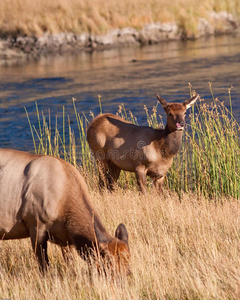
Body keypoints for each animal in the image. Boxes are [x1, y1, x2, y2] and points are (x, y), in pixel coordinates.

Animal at [0, 148, 129, 274]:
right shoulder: (35, 224)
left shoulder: (66, 239)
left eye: (128, 270)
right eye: (111, 269)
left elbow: (70, 263)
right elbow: (44, 266)